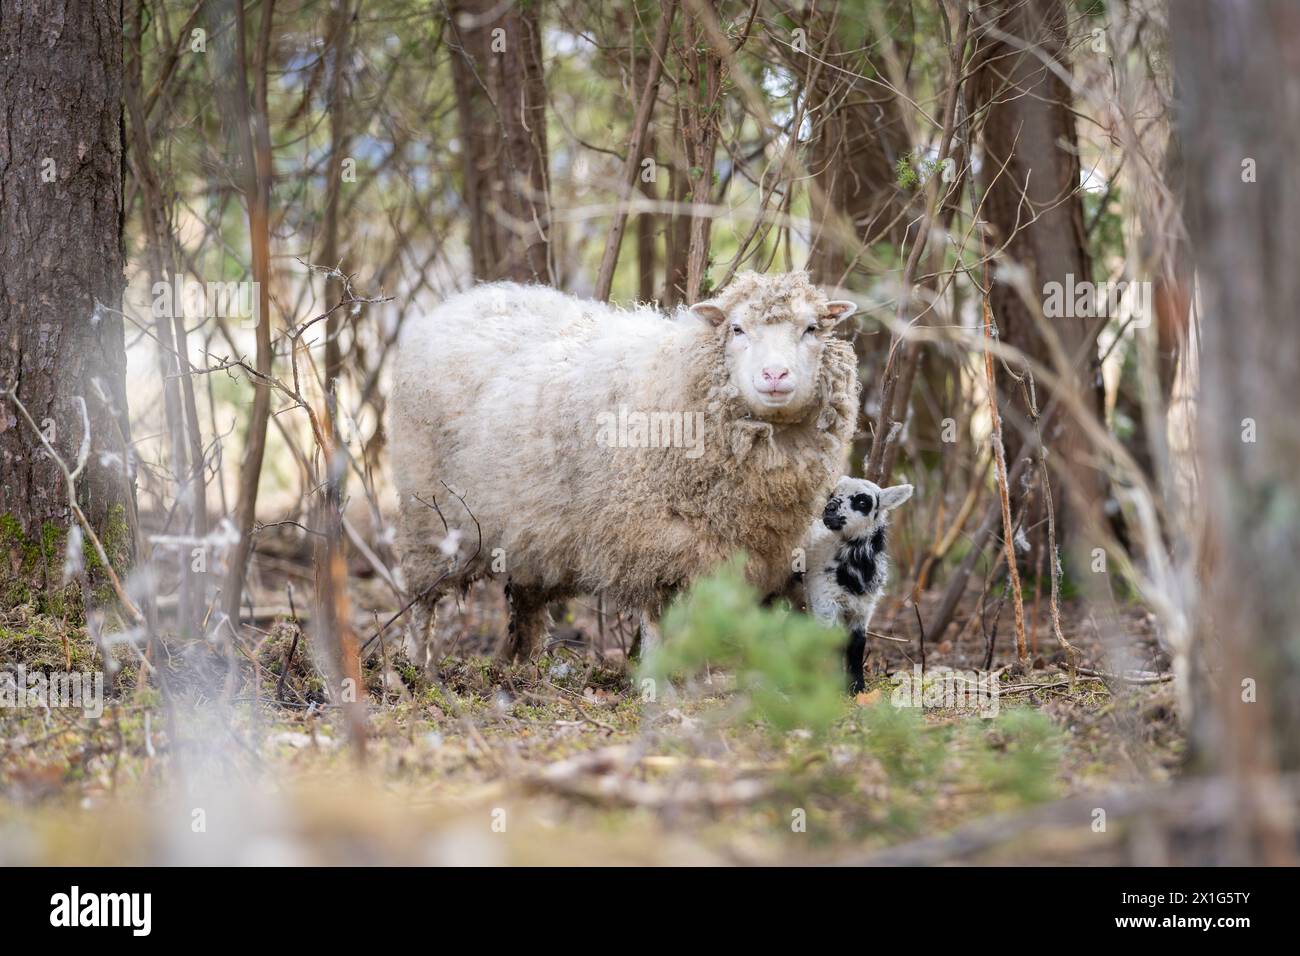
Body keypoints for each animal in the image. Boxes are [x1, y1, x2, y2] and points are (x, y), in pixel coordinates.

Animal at [390, 270, 868, 671]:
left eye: (811, 329)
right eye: (737, 329)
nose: (774, 375)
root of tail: (460, 302)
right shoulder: (652, 543)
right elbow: (656, 621)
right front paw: (657, 683)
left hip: (530, 531)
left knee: (527, 604)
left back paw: (527, 667)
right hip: (427, 515)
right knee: (422, 600)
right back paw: (415, 666)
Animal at [800, 478, 915, 697]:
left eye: (863, 502)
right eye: (831, 495)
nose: (829, 508)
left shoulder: (863, 609)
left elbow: (857, 644)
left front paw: (857, 688)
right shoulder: (826, 601)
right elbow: (832, 640)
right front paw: (832, 684)